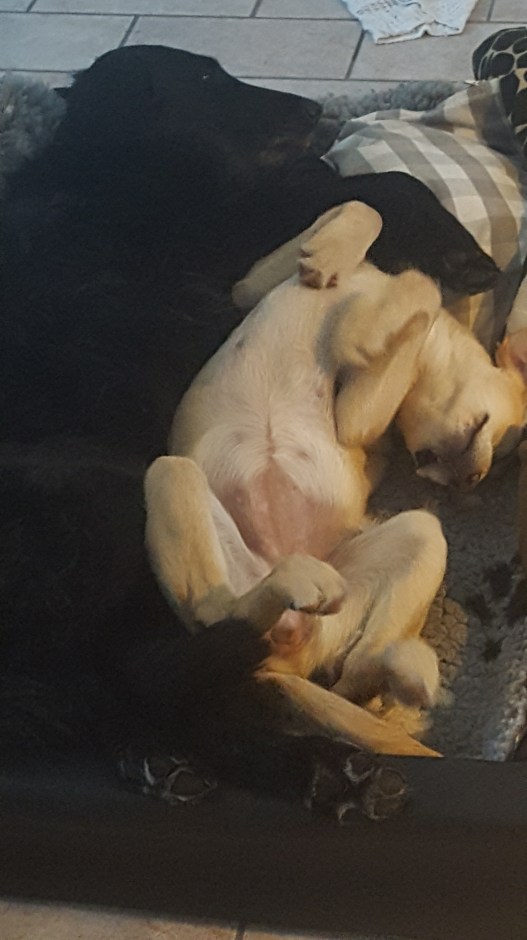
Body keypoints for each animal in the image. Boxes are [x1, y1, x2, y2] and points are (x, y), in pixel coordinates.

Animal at [0, 45, 503, 819]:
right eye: (208, 77)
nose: (315, 112)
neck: (118, 174)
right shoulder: (235, 266)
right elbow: (372, 189)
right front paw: (431, 252)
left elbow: (352, 194)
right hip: (112, 496)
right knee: (170, 670)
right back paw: (314, 761)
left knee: (155, 684)